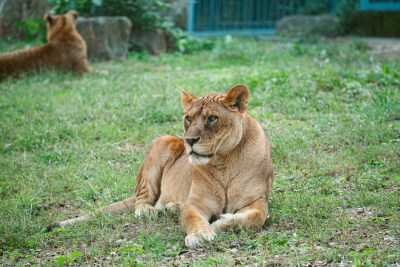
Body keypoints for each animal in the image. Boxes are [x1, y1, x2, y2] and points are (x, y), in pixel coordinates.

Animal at [52, 85, 272, 249]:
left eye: (212, 119)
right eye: (188, 118)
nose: (189, 140)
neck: (224, 162)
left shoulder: (258, 200)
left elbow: (257, 217)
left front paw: (221, 222)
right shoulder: (196, 203)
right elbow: (193, 218)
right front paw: (200, 234)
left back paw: (170, 208)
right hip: (163, 141)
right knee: (142, 201)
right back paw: (149, 212)